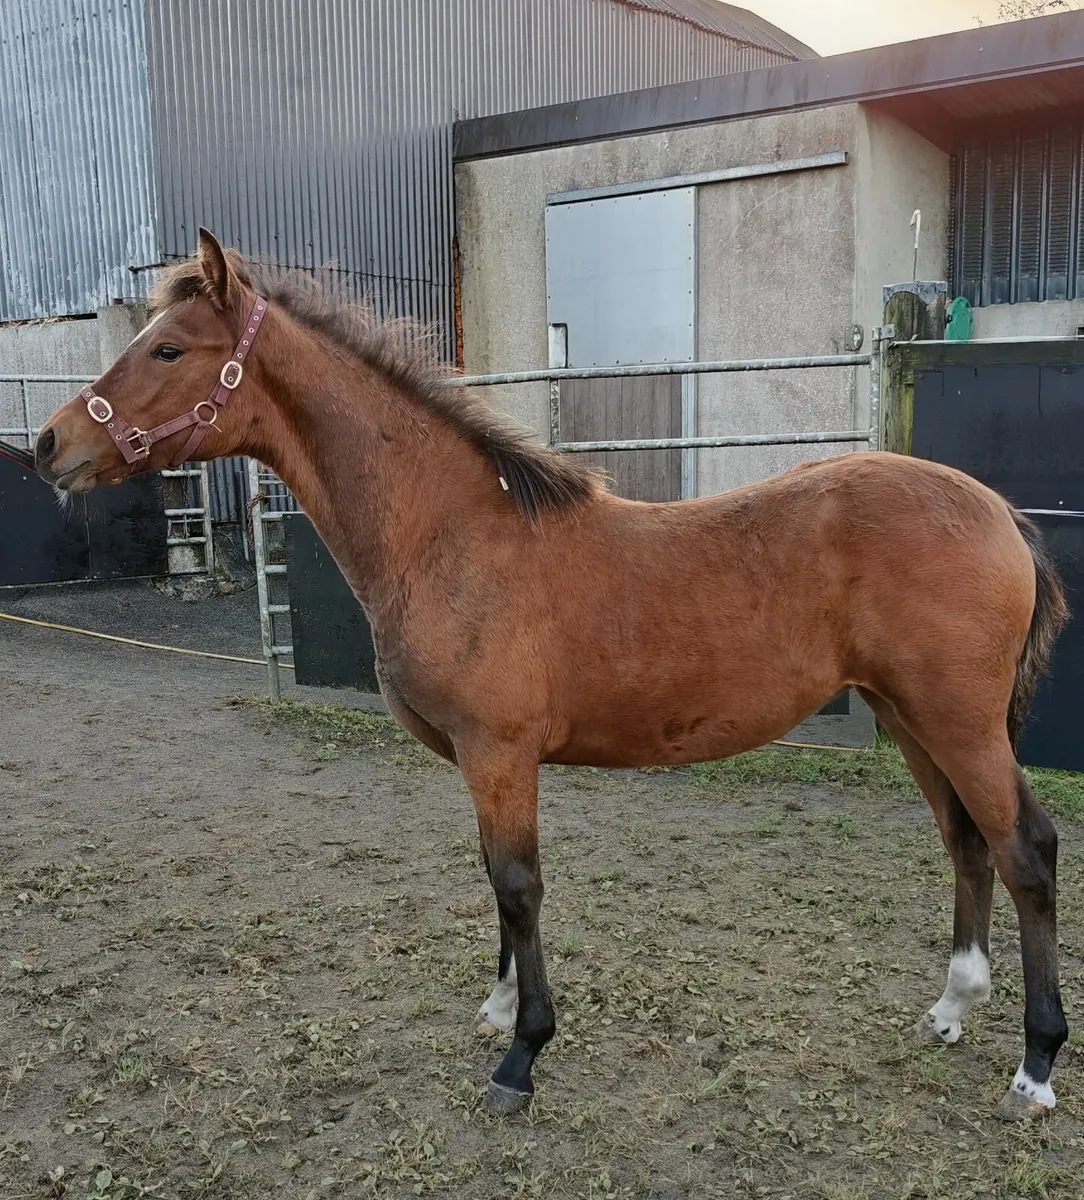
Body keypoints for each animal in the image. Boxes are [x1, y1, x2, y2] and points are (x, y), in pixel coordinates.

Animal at [34, 229, 1069, 1120]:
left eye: (169, 349)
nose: (47, 445)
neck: (453, 534)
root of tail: (1000, 514)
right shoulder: (478, 759)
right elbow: (493, 879)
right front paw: (498, 1009)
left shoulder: (499, 753)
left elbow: (518, 883)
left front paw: (521, 1053)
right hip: (912, 718)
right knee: (966, 843)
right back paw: (953, 1008)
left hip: (958, 722)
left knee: (1026, 850)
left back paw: (1035, 1064)